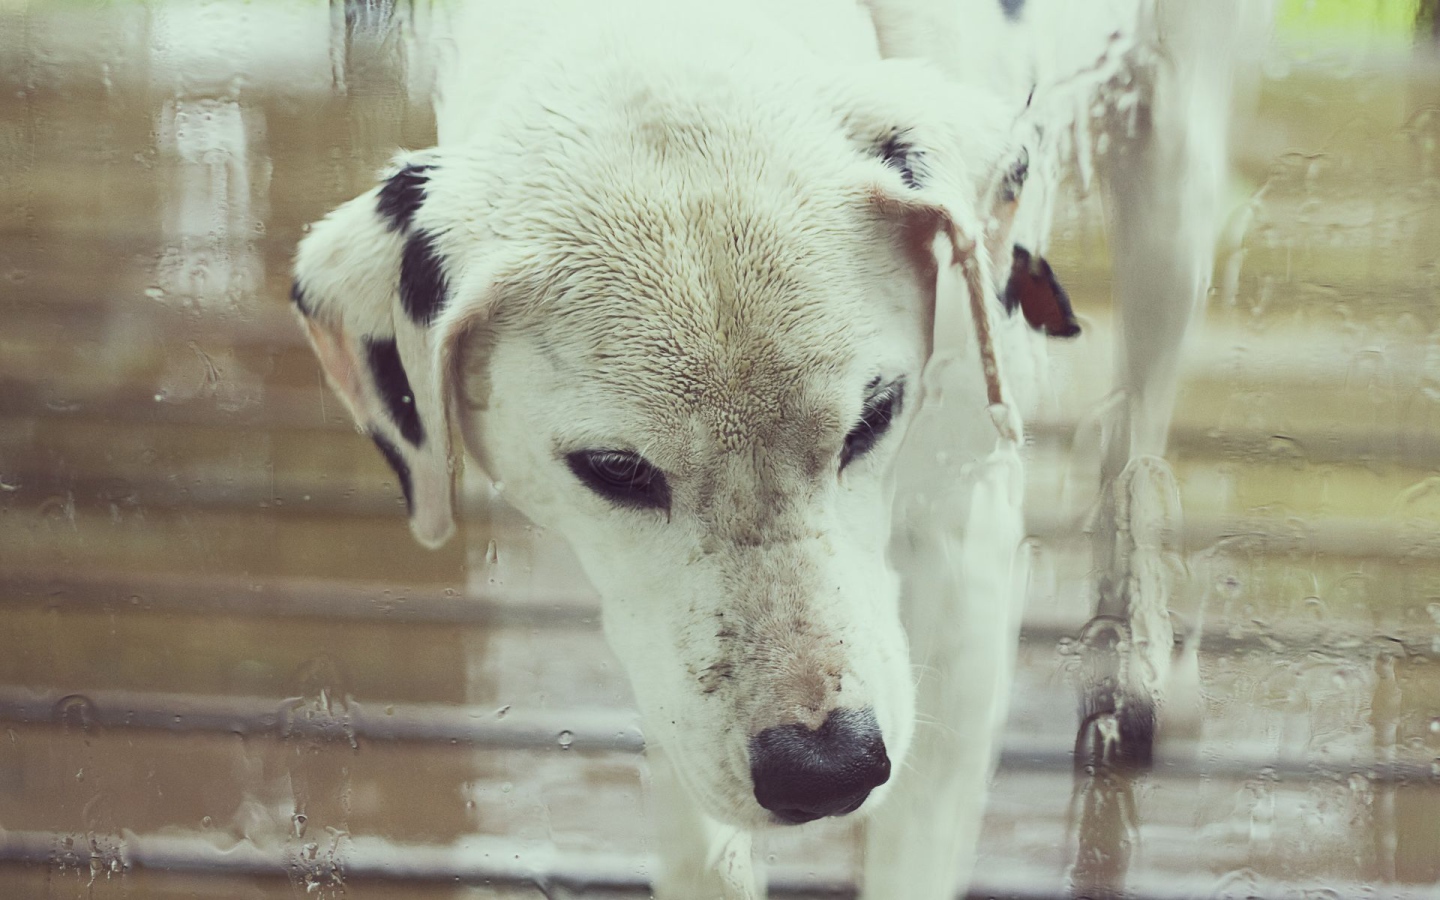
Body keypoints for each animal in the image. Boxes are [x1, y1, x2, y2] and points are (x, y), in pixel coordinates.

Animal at [292, 1, 1264, 896]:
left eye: (874, 416)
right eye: (616, 470)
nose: (827, 769)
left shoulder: (963, 553)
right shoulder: (669, 665)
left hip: (1173, 189)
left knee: (1137, 429)